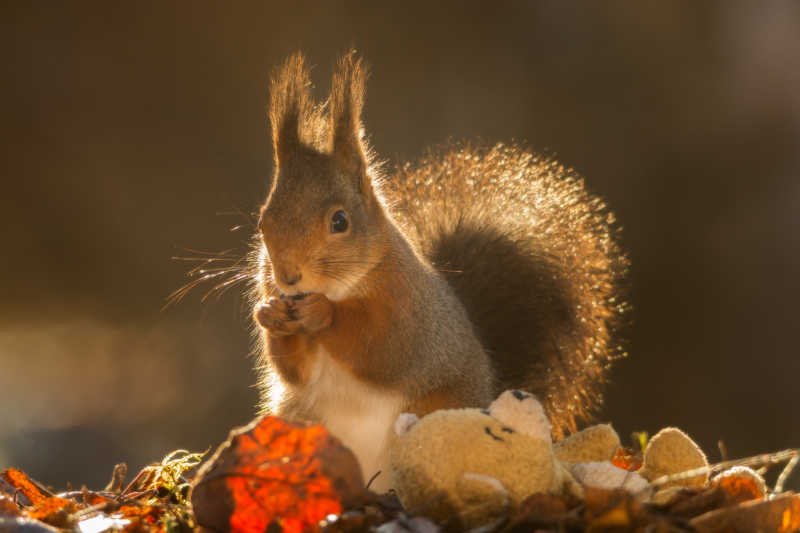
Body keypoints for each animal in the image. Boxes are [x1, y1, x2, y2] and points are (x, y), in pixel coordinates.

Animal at [253, 54, 628, 490]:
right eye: (262, 223)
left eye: (340, 221)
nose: (288, 277)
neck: (343, 288)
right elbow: (296, 371)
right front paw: (270, 315)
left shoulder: (413, 316)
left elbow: (381, 346)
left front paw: (322, 314)